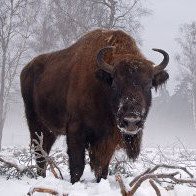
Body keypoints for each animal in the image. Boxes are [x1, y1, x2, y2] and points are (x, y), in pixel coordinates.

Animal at [20, 28, 169, 183]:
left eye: (148, 85)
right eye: (115, 84)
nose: (132, 121)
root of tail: (26, 70)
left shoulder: (108, 139)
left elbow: (102, 169)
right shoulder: (76, 132)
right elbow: (77, 167)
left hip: (50, 131)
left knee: (45, 150)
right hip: (36, 125)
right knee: (40, 154)